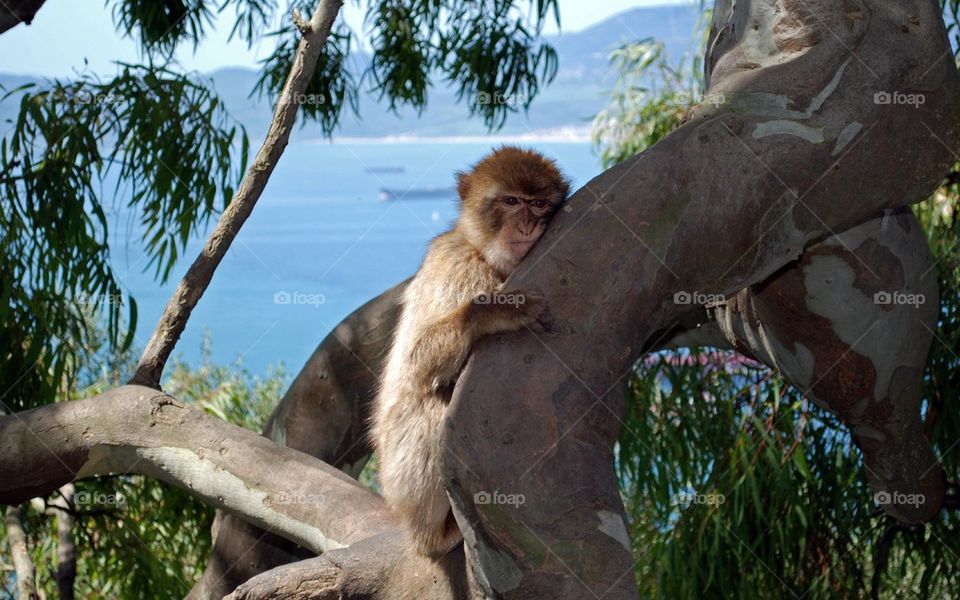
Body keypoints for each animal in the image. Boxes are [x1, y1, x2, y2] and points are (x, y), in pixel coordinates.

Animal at [370, 146, 570, 557]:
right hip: (399, 478)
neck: (485, 256)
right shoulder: (455, 266)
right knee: (434, 406)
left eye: (538, 203)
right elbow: (415, 363)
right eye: (510, 202)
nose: (527, 226)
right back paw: (436, 535)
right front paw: (498, 308)